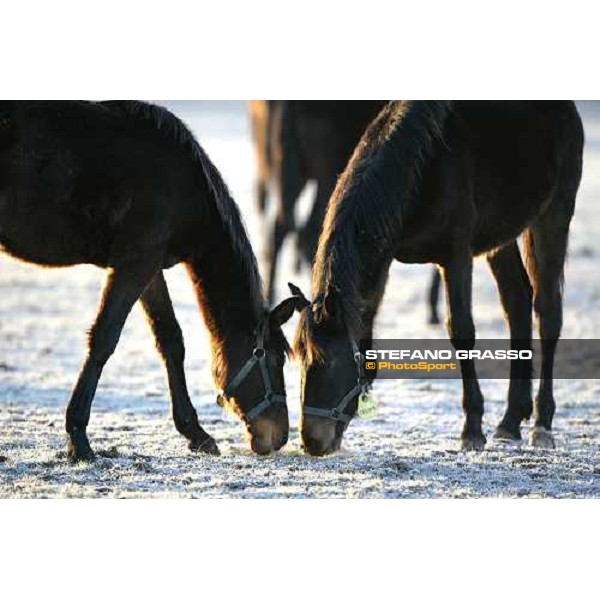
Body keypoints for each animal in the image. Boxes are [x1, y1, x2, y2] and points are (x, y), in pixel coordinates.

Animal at [0, 101, 300, 462]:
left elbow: (171, 340)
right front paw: (78, 437)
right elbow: (104, 339)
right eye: (272, 358)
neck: (182, 183)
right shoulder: (135, 263)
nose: (279, 436)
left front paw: (196, 432)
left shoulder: (150, 268)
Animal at [292, 101, 584, 454]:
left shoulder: (456, 255)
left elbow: (461, 331)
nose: (311, 440)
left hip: (554, 214)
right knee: (516, 303)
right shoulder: (384, 259)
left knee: (548, 312)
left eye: (330, 360)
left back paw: (542, 423)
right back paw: (511, 420)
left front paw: (471, 429)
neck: (420, 167)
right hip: (500, 238)